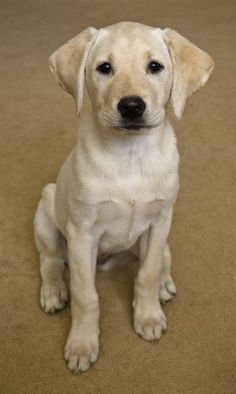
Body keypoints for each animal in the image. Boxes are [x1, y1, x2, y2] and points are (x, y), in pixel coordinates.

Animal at [33, 22, 214, 376]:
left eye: (155, 66)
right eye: (104, 68)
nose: (131, 106)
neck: (130, 156)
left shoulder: (160, 220)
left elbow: (148, 272)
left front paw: (149, 315)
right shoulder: (81, 233)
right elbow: (86, 296)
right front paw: (82, 345)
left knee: (160, 258)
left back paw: (164, 285)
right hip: (46, 213)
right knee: (51, 260)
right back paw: (53, 291)